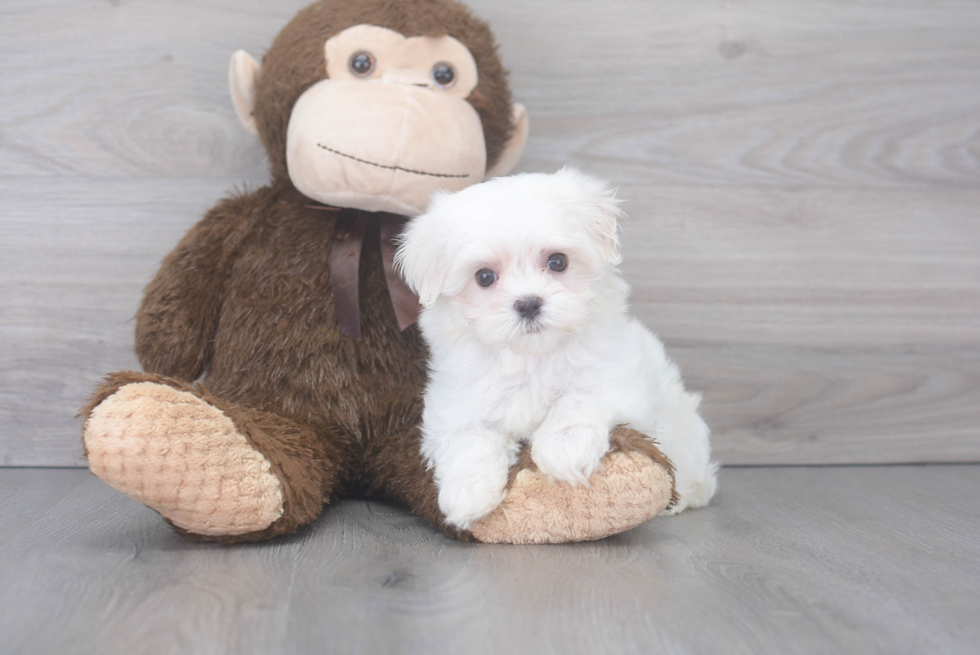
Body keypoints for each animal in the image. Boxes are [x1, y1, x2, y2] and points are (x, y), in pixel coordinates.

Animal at [394, 170, 716, 532]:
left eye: (557, 261)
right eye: (484, 277)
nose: (528, 303)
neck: (532, 357)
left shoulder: (620, 380)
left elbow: (579, 398)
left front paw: (565, 447)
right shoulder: (455, 403)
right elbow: (469, 437)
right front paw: (468, 493)